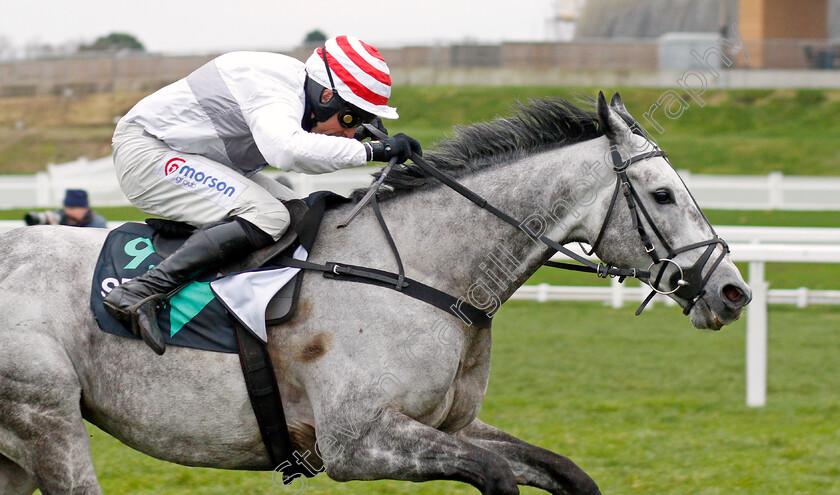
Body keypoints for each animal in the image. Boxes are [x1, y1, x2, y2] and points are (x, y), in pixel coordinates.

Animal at [0, 94, 748, 495]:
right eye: (662, 194)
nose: (733, 290)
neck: (426, 273)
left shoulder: (451, 423)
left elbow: (563, 471)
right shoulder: (355, 441)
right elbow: (495, 475)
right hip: (46, 420)